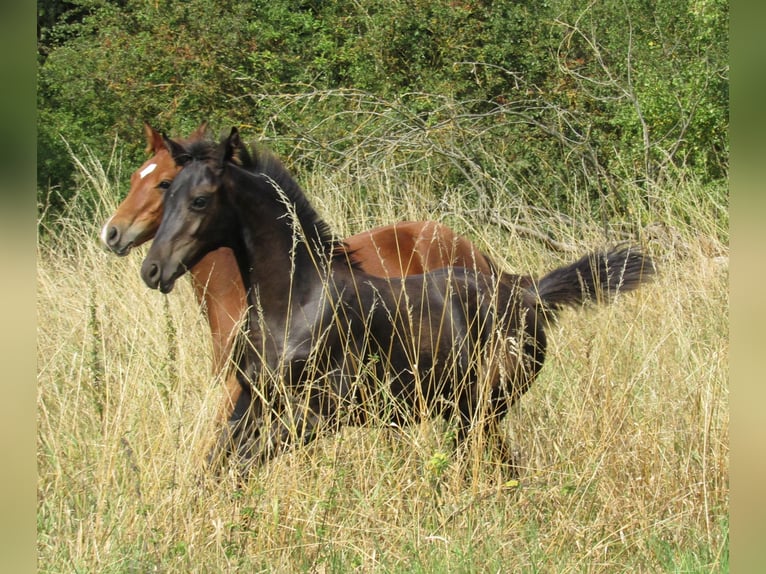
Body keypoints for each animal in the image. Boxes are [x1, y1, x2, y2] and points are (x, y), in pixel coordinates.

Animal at [140, 128, 654, 473]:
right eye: (167, 193)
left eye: (200, 200)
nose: (152, 269)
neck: (295, 300)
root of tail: (527, 292)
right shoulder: (253, 401)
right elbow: (217, 466)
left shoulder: (319, 413)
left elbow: (243, 465)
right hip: (464, 411)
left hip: (483, 408)